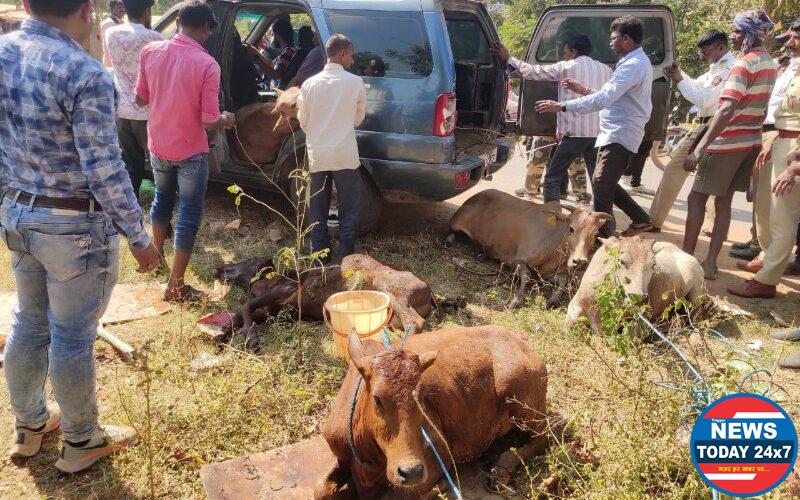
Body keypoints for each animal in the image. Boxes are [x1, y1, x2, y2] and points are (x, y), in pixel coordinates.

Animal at [214, 254, 432, 348]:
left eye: (248, 260)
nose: (218, 267)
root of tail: (429, 292)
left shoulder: (284, 291)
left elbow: (245, 306)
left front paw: (249, 336)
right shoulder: (276, 309)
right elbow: (237, 316)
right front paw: (222, 335)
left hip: (385, 286)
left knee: (415, 322)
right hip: (392, 317)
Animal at [316, 326, 548, 498]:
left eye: (420, 397)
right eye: (377, 399)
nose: (411, 472)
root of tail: (524, 345)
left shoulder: (440, 449)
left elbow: (411, 494)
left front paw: (443, 483)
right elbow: (322, 490)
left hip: (519, 396)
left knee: (544, 438)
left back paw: (501, 469)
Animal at [444, 189, 612, 308]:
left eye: (596, 234)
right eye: (571, 228)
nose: (580, 261)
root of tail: (473, 197)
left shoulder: (551, 273)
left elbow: (563, 281)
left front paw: (552, 300)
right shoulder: (517, 260)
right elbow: (527, 276)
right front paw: (515, 301)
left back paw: (483, 253)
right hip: (457, 221)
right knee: (452, 230)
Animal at [564, 234, 704, 332]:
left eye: (653, 265)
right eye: (621, 261)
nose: (639, 297)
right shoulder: (576, 303)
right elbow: (567, 326)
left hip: (696, 294)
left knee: (696, 319)